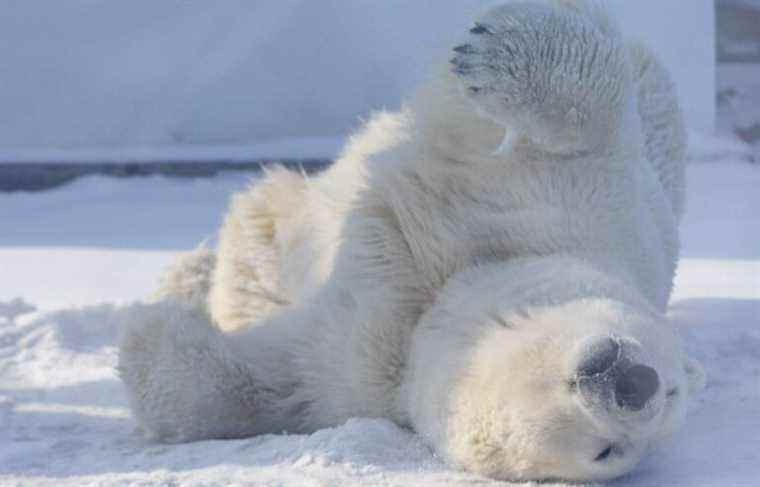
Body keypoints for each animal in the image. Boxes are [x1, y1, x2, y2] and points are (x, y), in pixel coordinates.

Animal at [119, 0, 708, 484]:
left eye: (609, 452)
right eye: (672, 386)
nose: (635, 384)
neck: (446, 299)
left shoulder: (350, 379)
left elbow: (254, 387)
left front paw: (149, 331)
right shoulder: (583, 213)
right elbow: (590, 126)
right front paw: (488, 51)